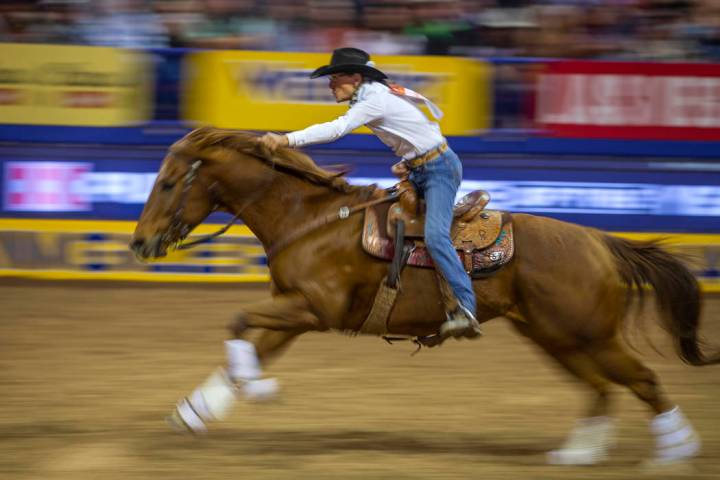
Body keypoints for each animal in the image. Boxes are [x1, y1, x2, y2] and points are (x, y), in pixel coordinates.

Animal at [132, 126, 716, 464]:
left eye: (168, 184)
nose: (139, 243)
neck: (311, 221)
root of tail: (598, 240)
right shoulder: (293, 313)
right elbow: (250, 346)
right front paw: (196, 411)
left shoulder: (313, 309)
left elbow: (235, 321)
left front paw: (257, 391)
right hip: (554, 336)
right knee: (599, 387)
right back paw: (579, 452)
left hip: (587, 332)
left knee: (641, 378)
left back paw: (677, 449)